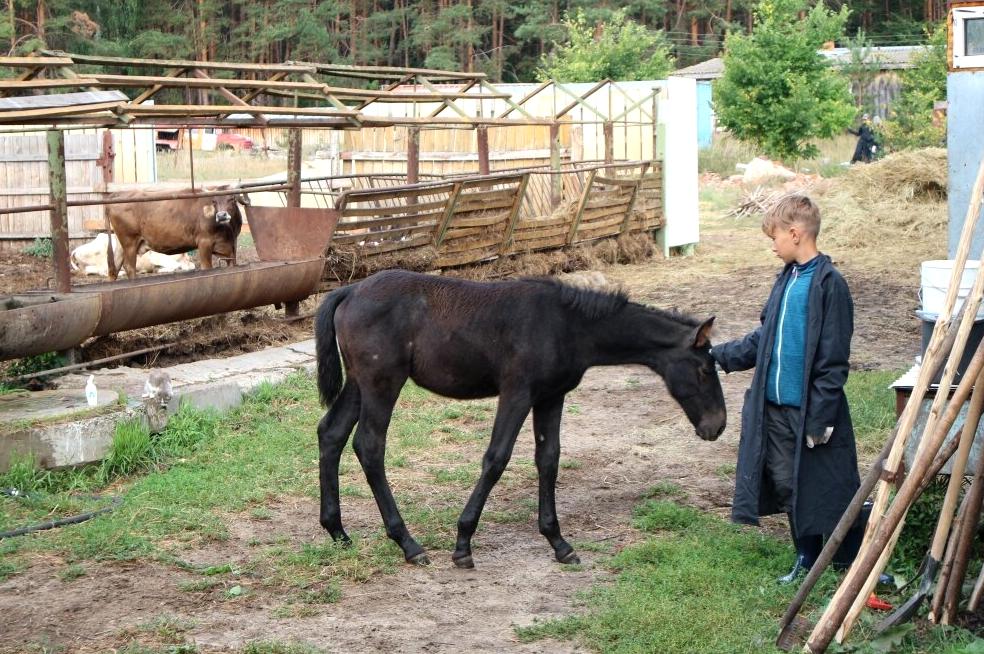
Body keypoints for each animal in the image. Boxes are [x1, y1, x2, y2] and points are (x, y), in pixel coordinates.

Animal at [103, 190, 248, 282]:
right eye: (214, 201)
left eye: (232, 199)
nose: (221, 215)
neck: (227, 231)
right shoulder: (204, 243)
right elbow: (207, 267)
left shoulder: (230, 247)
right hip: (130, 241)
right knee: (129, 266)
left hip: (121, 244)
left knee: (114, 267)